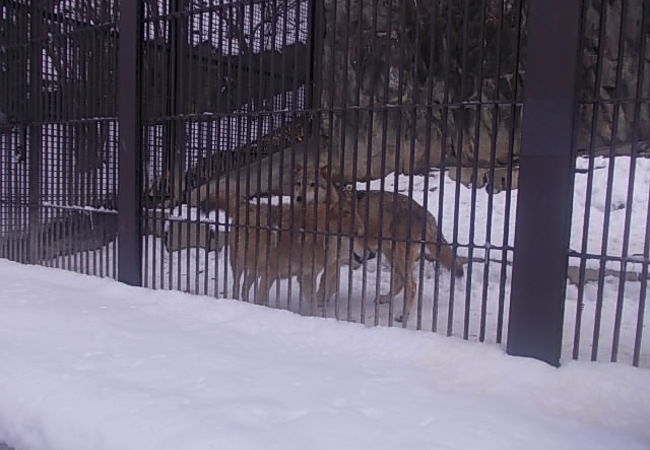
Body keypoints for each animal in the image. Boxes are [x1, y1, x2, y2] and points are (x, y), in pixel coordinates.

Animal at [292, 165, 464, 324]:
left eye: (313, 184)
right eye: (299, 183)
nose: (299, 198)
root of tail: (424, 211)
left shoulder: (335, 259)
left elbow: (323, 281)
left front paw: (319, 301)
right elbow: (330, 282)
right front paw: (324, 299)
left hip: (399, 256)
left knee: (412, 285)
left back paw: (403, 316)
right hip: (391, 254)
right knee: (400, 280)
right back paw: (385, 298)